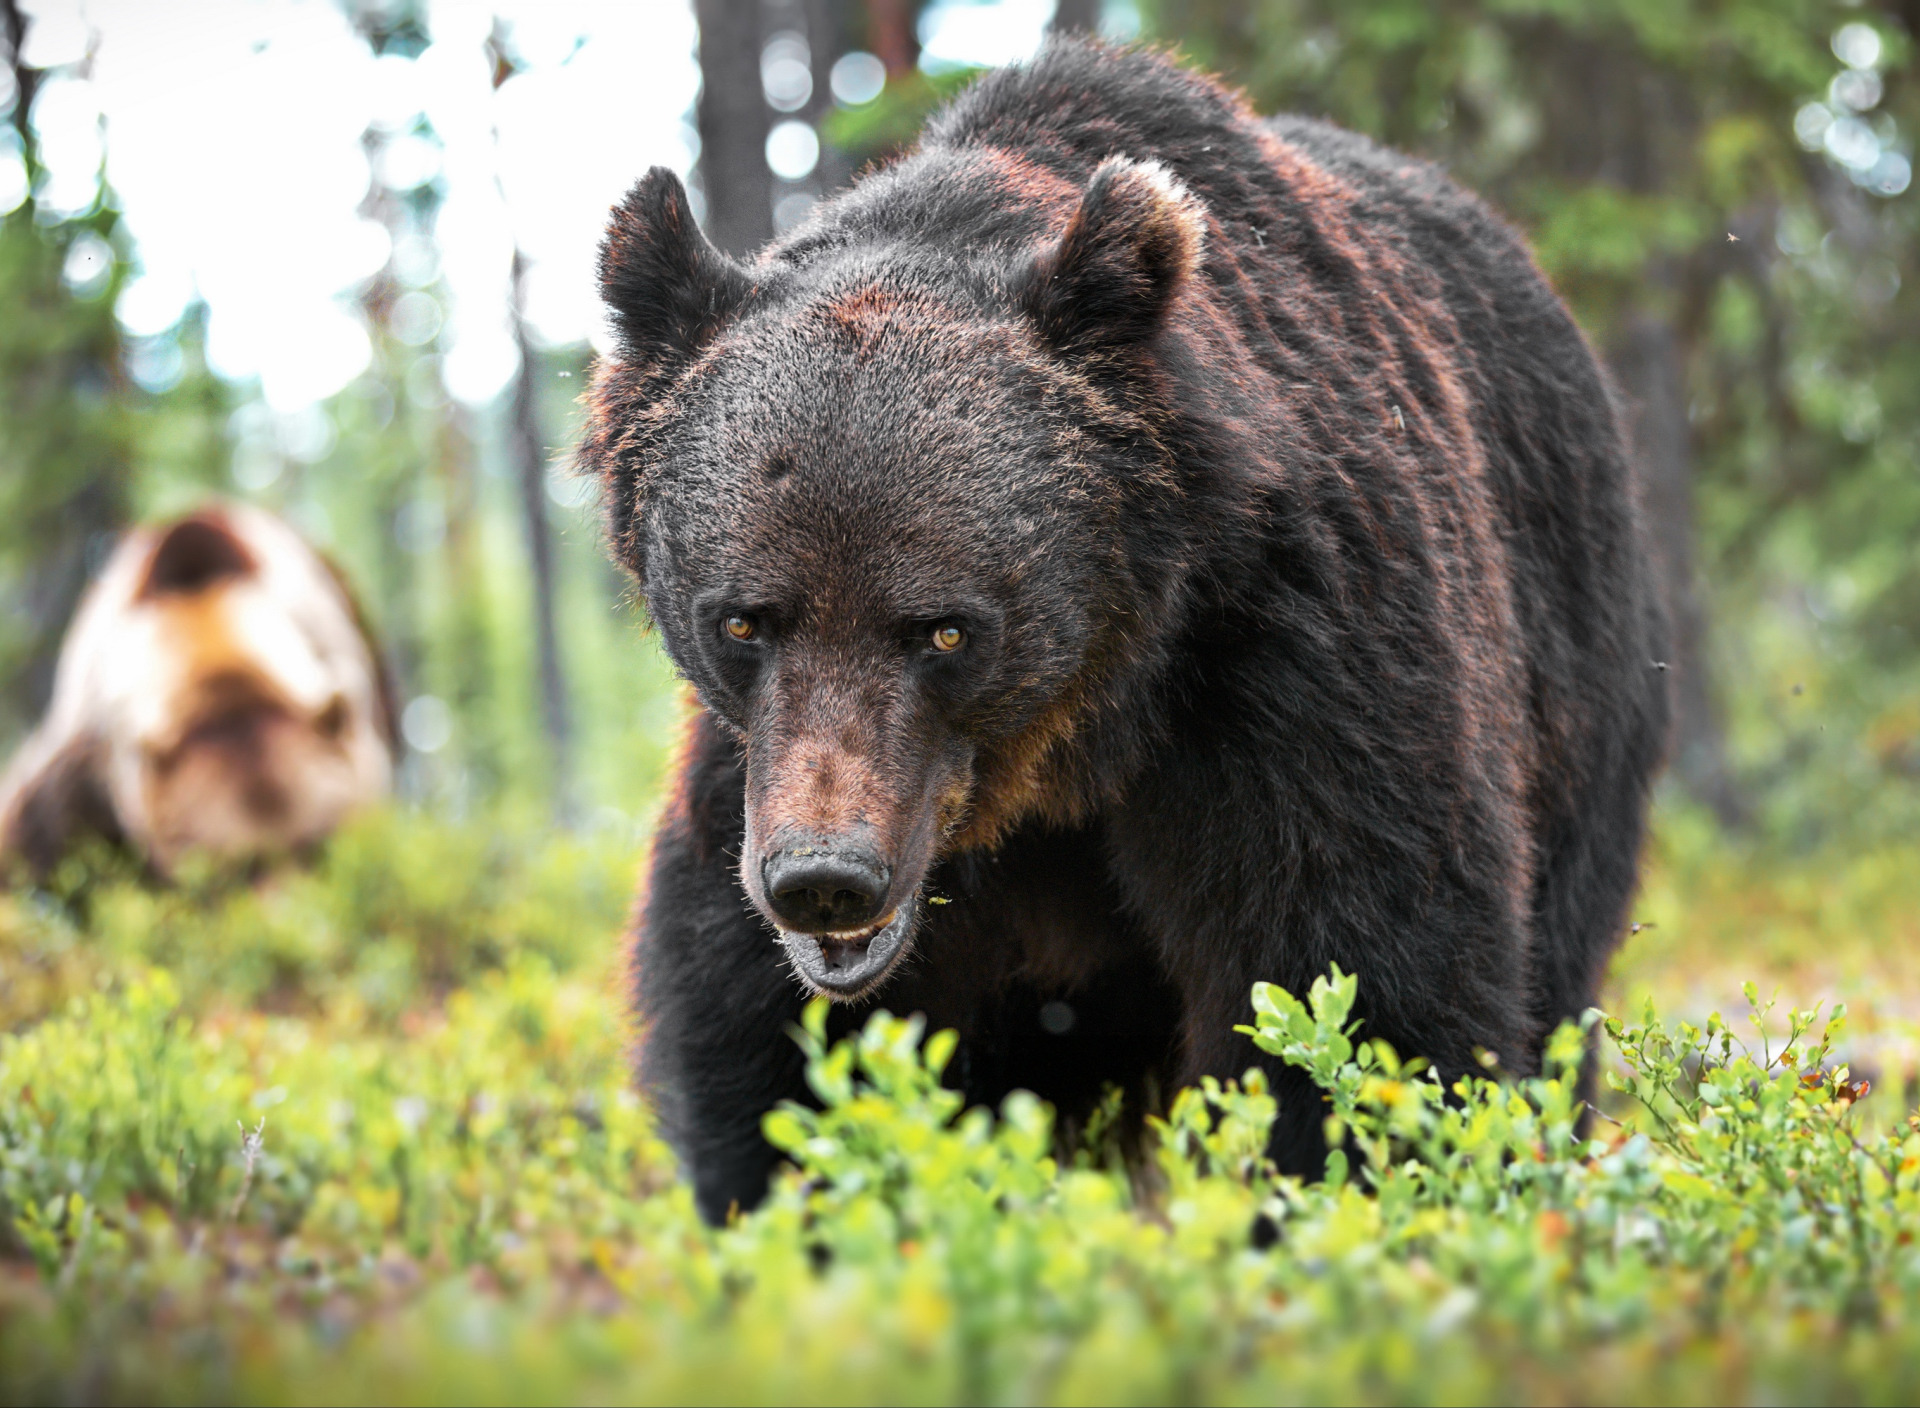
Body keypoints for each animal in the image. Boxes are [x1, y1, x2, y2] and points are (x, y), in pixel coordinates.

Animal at [579, 41, 1666, 1221]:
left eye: (944, 631)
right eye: (743, 619)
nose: (826, 877)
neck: (1079, 733)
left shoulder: (1297, 658)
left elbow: (1357, 987)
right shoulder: (751, 777)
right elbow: (760, 1040)